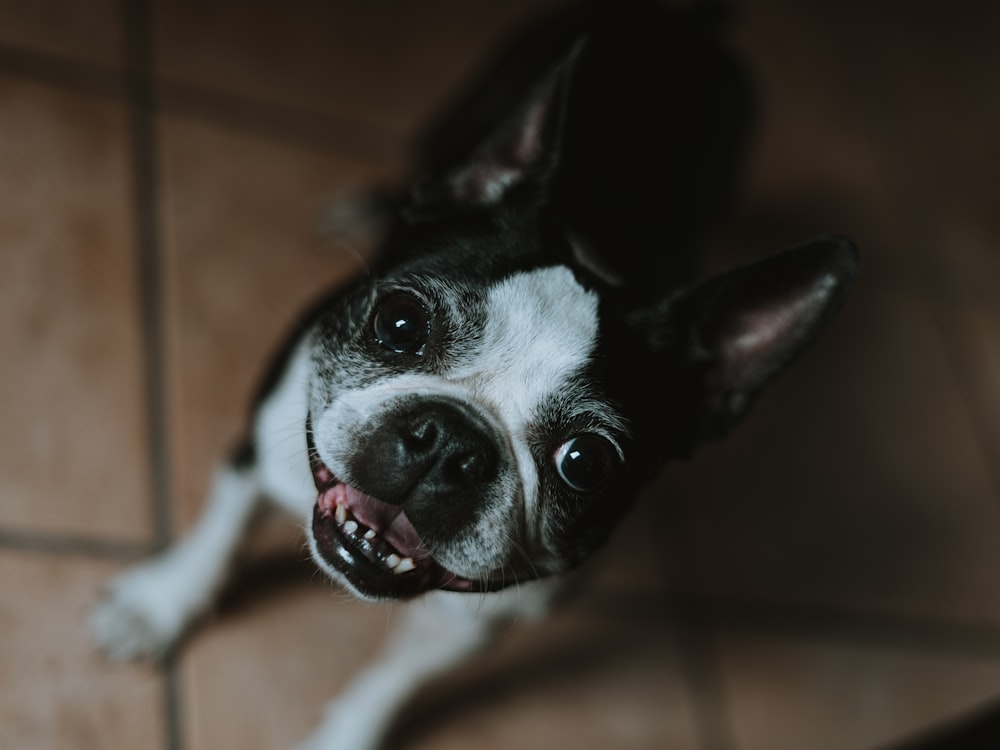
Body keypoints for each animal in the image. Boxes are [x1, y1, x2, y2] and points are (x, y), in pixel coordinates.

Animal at [92, 2, 860, 748]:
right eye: (400, 323)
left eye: (586, 463)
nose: (450, 441)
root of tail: (683, 21)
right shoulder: (262, 435)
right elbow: (216, 539)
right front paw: (160, 606)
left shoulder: (478, 621)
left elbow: (394, 683)